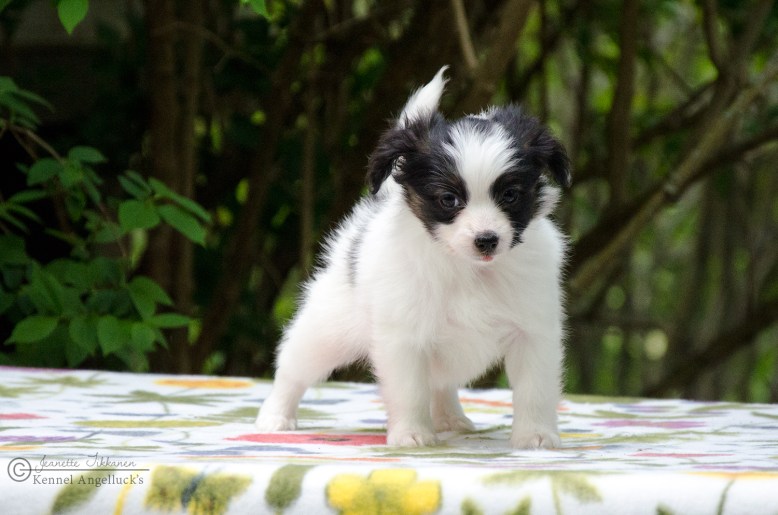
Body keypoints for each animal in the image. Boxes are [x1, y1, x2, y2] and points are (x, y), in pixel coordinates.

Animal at [255, 67, 570, 449]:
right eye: (448, 199)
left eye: (510, 195)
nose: (487, 240)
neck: (468, 270)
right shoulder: (403, 338)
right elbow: (409, 391)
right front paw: (412, 435)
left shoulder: (534, 332)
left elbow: (534, 390)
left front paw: (536, 437)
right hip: (329, 327)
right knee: (293, 366)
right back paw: (275, 415)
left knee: (441, 383)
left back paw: (452, 419)